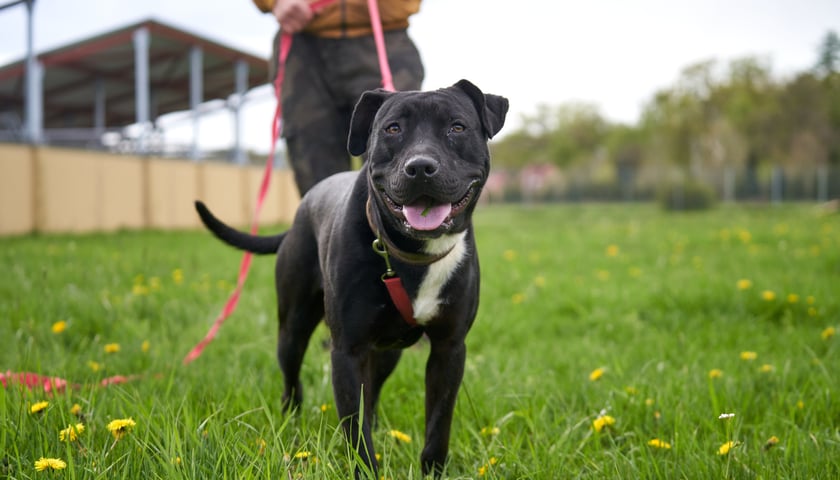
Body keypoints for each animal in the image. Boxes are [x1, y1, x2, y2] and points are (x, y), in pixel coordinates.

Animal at [198, 79, 508, 476]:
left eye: (457, 127)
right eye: (393, 129)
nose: (421, 166)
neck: (412, 254)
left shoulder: (448, 348)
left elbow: (438, 424)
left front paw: (432, 472)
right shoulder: (347, 350)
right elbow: (356, 429)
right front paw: (366, 469)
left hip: (389, 351)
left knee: (372, 391)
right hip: (294, 327)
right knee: (292, 379)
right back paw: (290, 423)